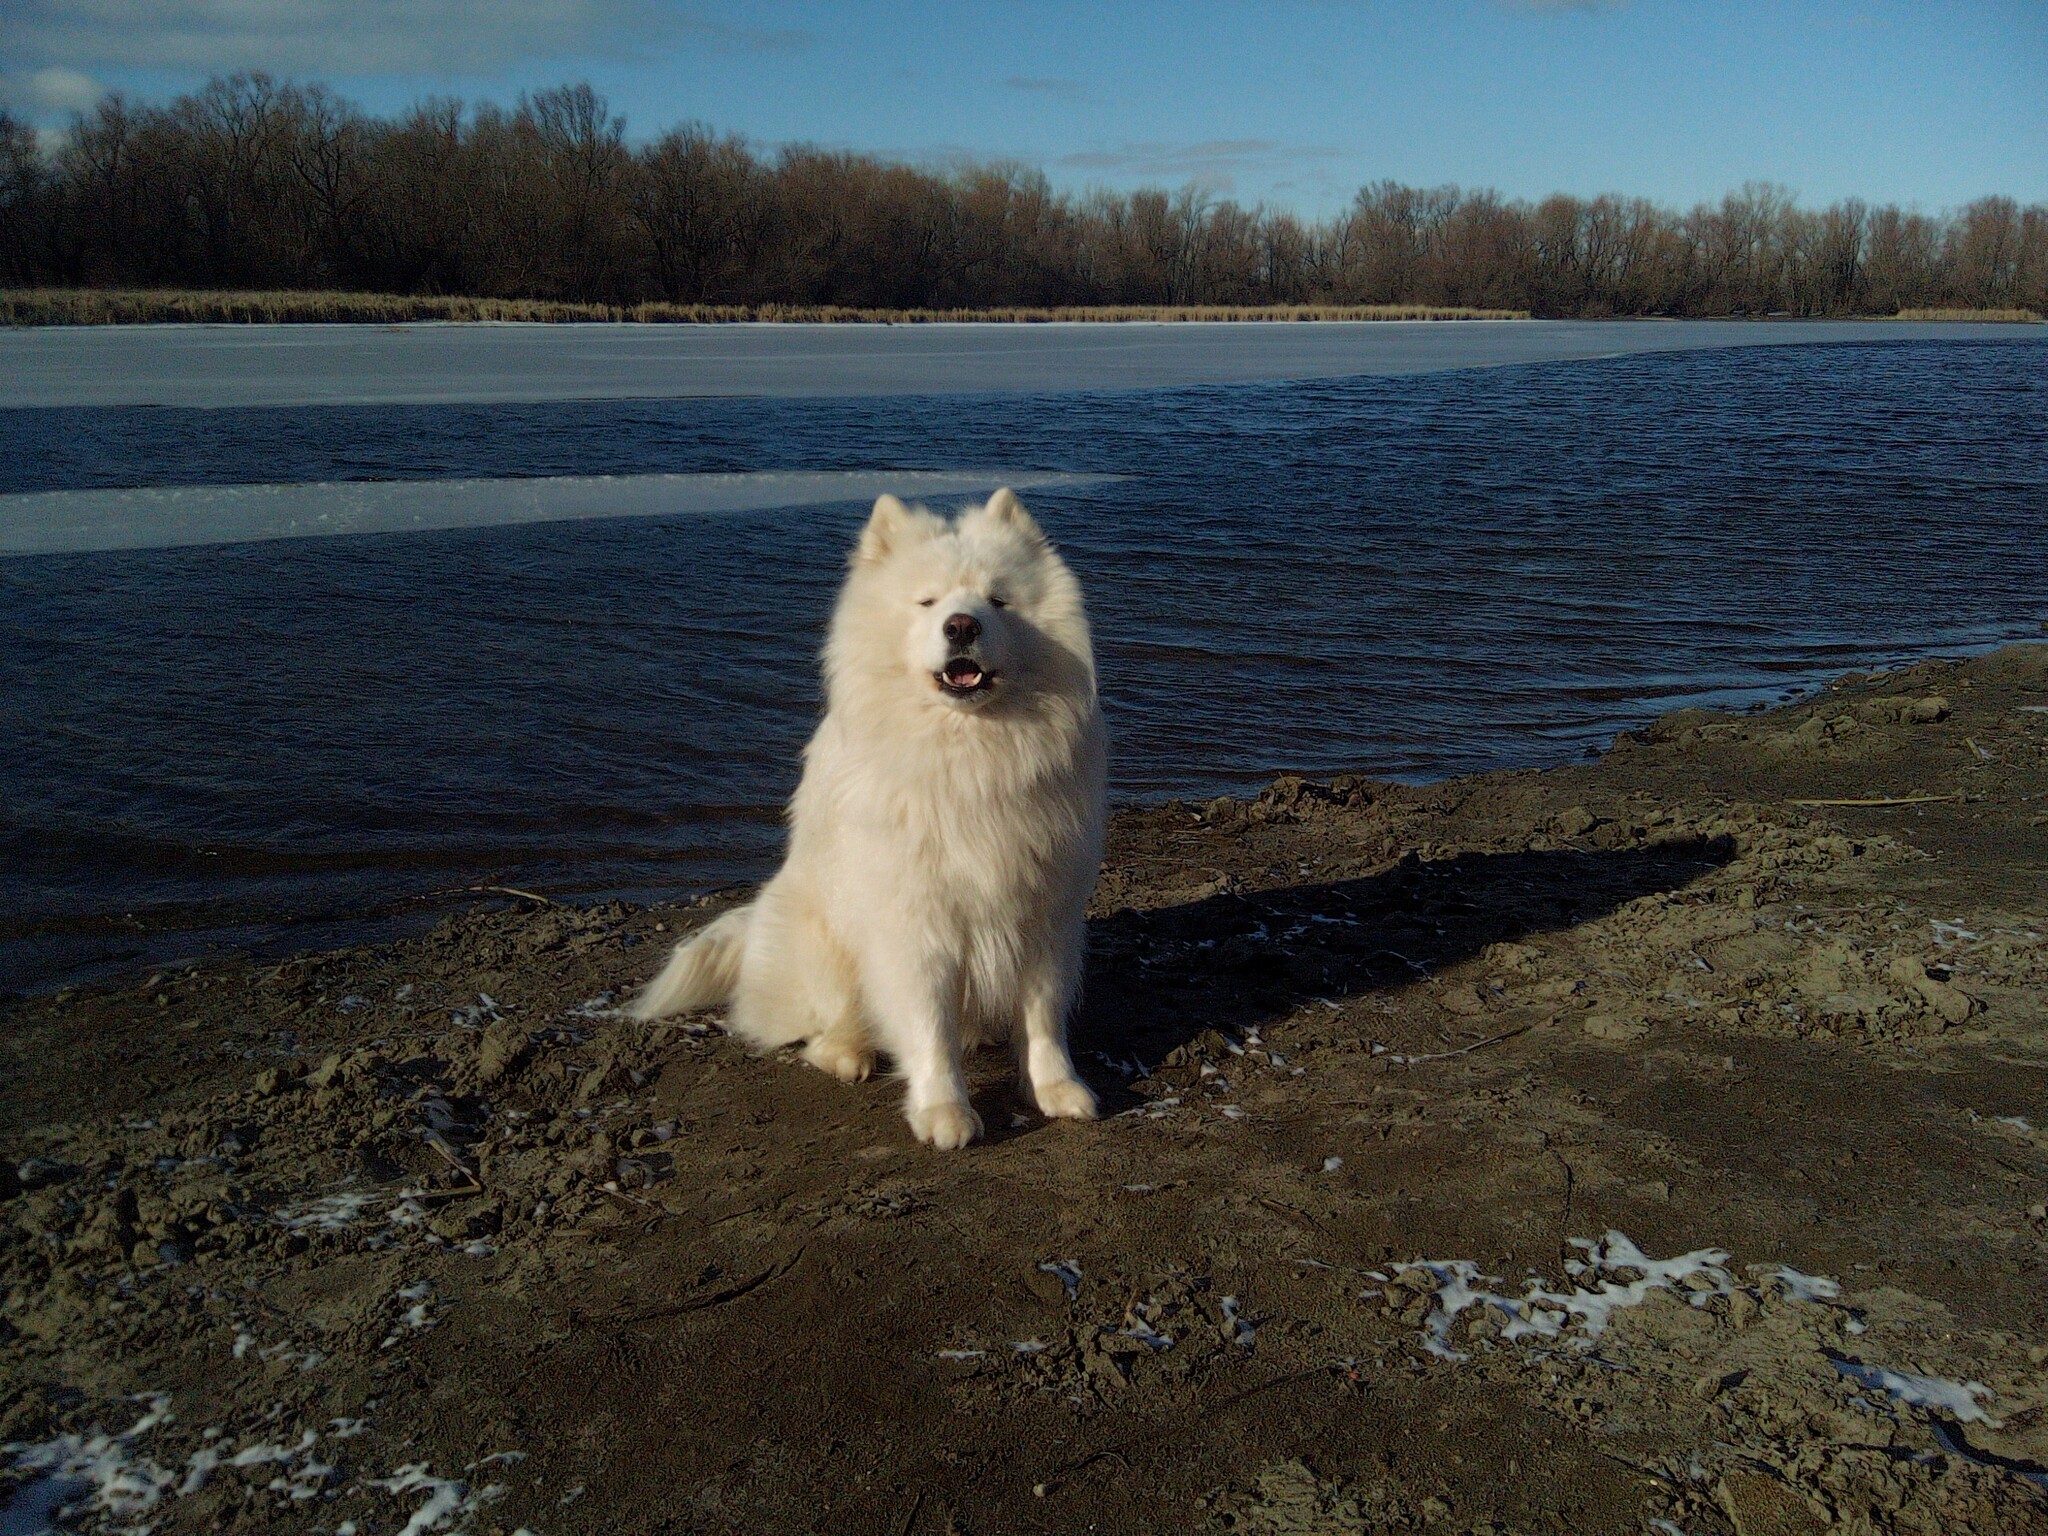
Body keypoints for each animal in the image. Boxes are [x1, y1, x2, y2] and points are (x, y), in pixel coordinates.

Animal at [626, 487, 1105, 1146]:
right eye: (927, 601)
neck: (971, 758)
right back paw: (848, 1053)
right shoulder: (914, 923)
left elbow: (1042, 1018)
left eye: (996, 600)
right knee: (822, 1029)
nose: (961, 625)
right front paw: (944, 1111)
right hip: (825, 946)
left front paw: (1056, 1089)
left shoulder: (1044, 914)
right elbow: (928, 1025)